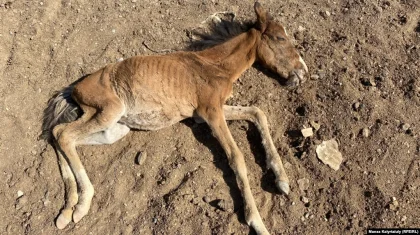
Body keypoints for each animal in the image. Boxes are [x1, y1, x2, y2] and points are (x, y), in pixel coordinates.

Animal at [42, 2, 308, 234]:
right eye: (280, 38)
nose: (302, 72)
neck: (214, 66)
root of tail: (74, 88)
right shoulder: (211, 112)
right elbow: (236, 157)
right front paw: (257, 223)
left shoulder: (205, 114)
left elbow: (257, 112)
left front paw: (282, 180)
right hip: (109, 111)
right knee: (63, 134)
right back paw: (81, 204)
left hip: (113, 129)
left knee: (60, 135)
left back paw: (68, 209)